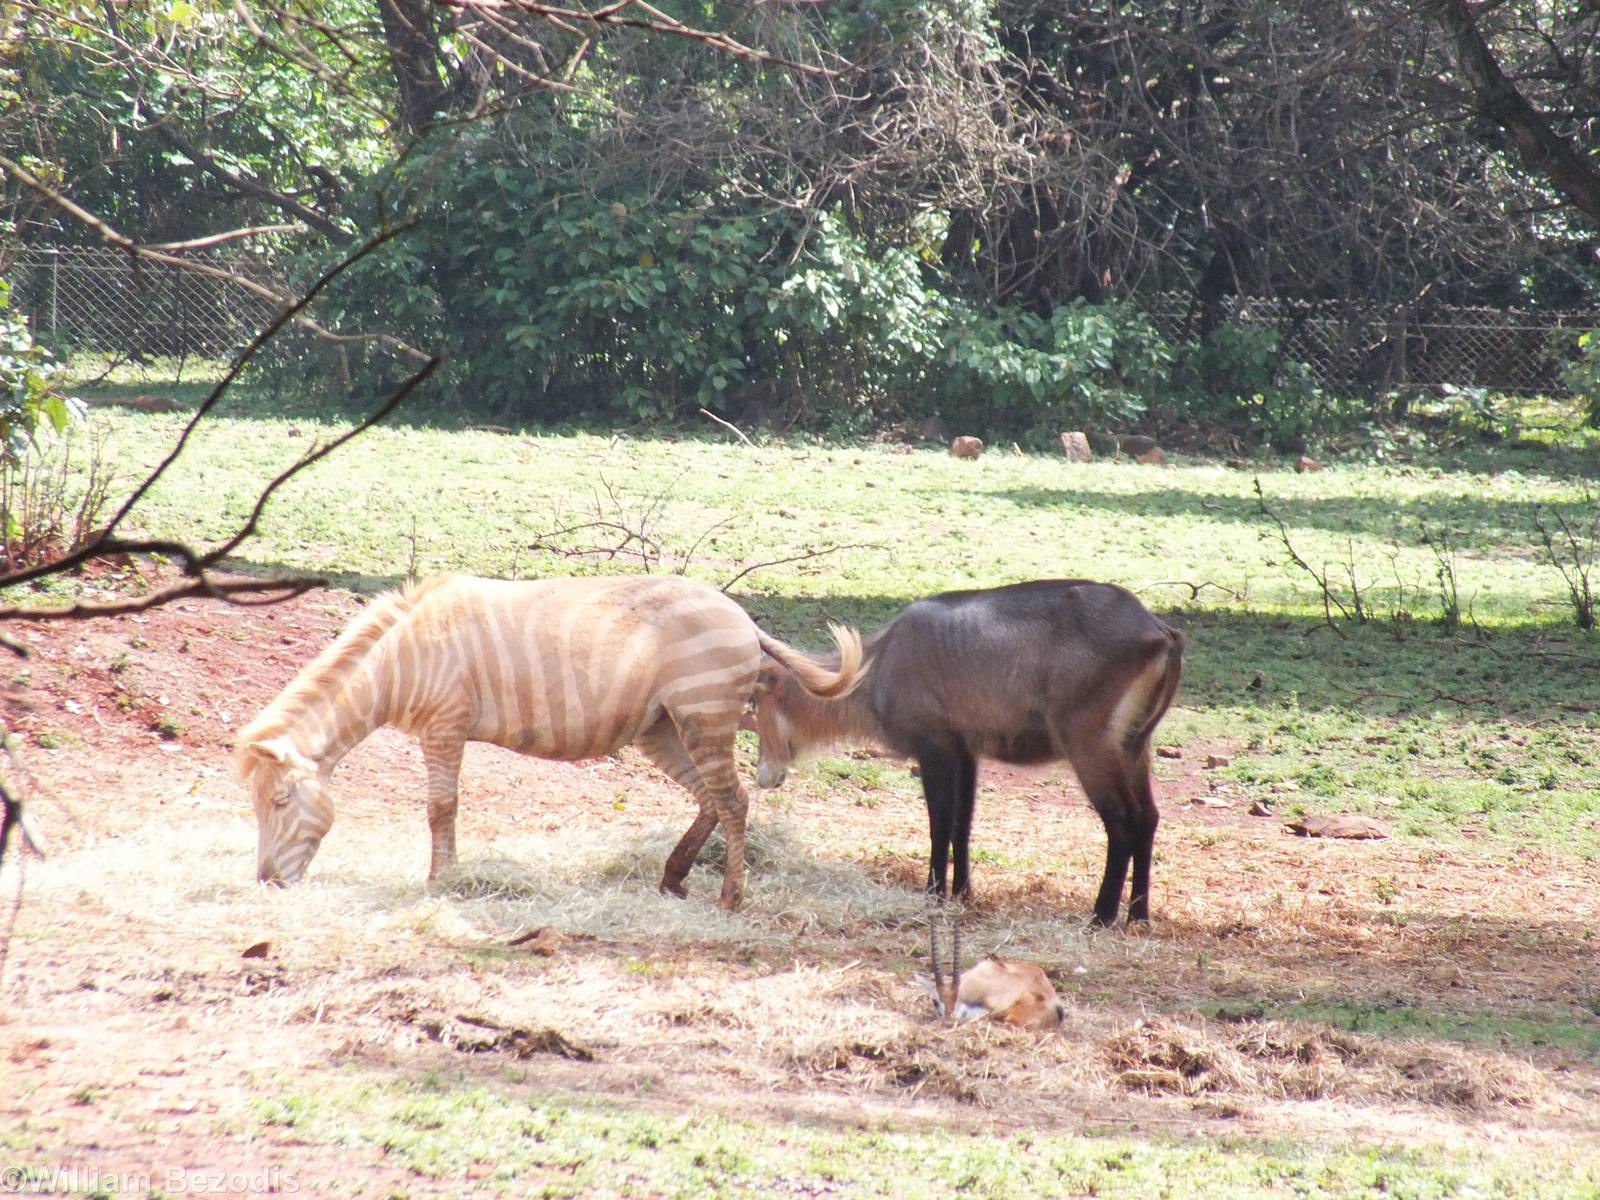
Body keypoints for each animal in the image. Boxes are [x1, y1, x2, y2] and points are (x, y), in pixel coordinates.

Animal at [236, 574, 863, 907]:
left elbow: (441, 807)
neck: (402, 658)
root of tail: (739, 614)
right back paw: (672, 878)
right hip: (662, 727)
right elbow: (443, 809)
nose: (267, 883)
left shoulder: (445, 726)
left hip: (703, 715)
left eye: (280, 802)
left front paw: (443, 881)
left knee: (733, 801)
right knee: (710, 799)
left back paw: (731, 896)